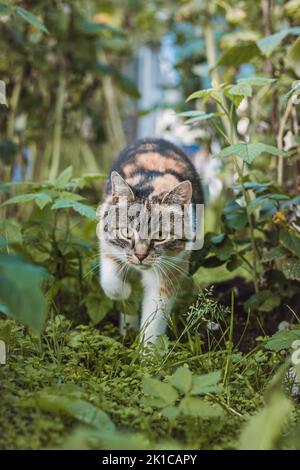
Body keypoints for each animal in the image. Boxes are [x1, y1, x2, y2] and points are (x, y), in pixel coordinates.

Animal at [99, 138, 204, 346]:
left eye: (161, 235)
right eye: (126, 232)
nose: (140, 255)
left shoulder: (172, 267)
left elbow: (156, 316)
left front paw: (148, 351)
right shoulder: (107, 245)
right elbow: (110, 283)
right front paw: (125, 292)